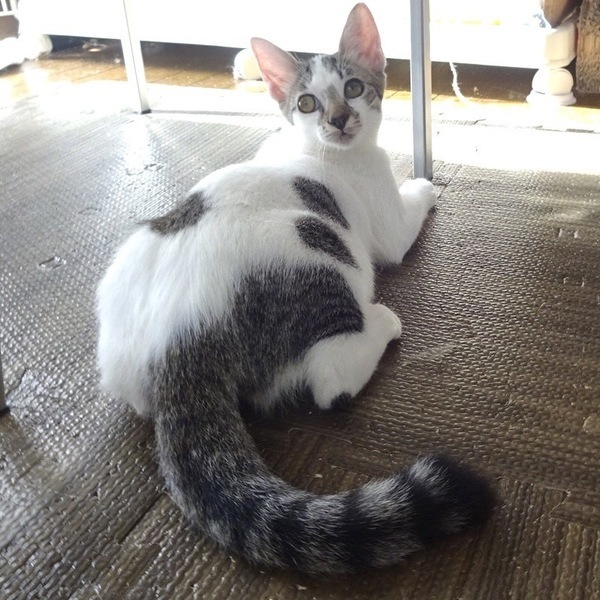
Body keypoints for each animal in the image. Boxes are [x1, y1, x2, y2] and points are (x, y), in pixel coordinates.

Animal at [96, 3, 494, 574]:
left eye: (353, 87)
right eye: (307, 102)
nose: (339, 119)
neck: (316, 148)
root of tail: (176, 343)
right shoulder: (389, 228)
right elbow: (409, 211)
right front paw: (425, 184)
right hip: (316, 255)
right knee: (332, 382)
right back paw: (381, 322)